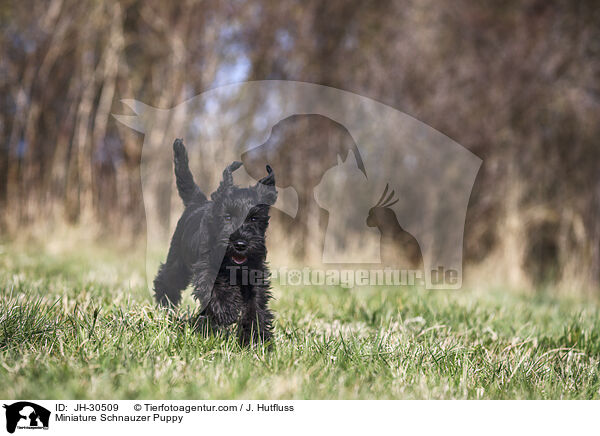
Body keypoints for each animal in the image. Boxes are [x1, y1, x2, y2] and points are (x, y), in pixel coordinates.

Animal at [154, 139, 278, 344]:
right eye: (227, 217)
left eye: (254, 218)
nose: (240, 244)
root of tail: (197, 202)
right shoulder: (206, 266)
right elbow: (214, 285)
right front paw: (226, 309)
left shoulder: (255, 277)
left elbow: (256, 306)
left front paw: (256, 339)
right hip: (178, 261)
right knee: (165, 279)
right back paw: (166, 306)